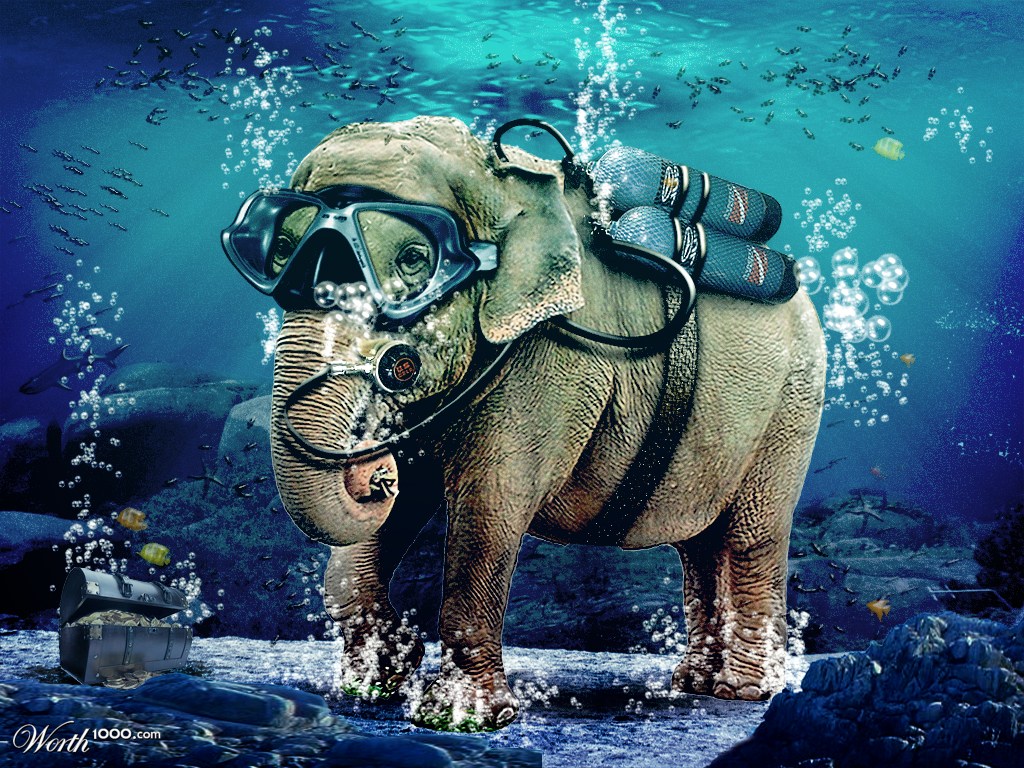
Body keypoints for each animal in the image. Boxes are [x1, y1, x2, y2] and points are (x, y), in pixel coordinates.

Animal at [265, 116, 827, 732]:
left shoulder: (556, 361)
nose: (374, 472)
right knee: (700, 546)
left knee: (750, 538)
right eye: (280, 252)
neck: (499, 184)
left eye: (414, 259)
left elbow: (491, 506)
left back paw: (742, 691)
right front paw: (375, 682)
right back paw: (696, 682)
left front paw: (457, 717)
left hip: (790, 407)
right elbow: (408, 503)